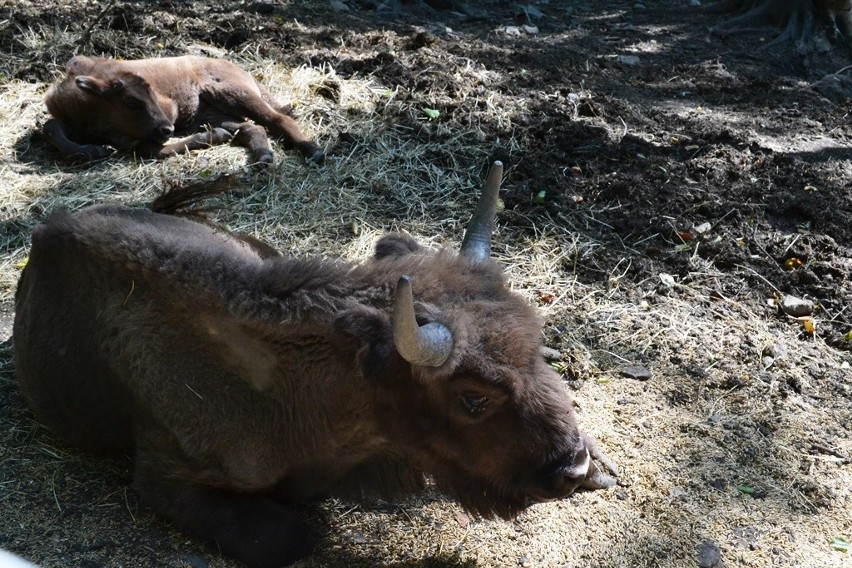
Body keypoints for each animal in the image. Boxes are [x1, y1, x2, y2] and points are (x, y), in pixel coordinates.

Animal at [16, 162, 616, 568]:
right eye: (473, 397)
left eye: (534, 337)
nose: (571, 467)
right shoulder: (165, 476)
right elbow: (290, 537)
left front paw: (601, 467)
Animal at [41, 54, 324, 165]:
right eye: (131, 102)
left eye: (151, 95)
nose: (167, 129)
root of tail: (237, 67)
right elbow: (50, 126)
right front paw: (90, 151)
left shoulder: (169, 111)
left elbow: (149, 149)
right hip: (215, 113)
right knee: (250, 127)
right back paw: (263, 157)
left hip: (235, 94)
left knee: (277, 118)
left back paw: (313, 150)